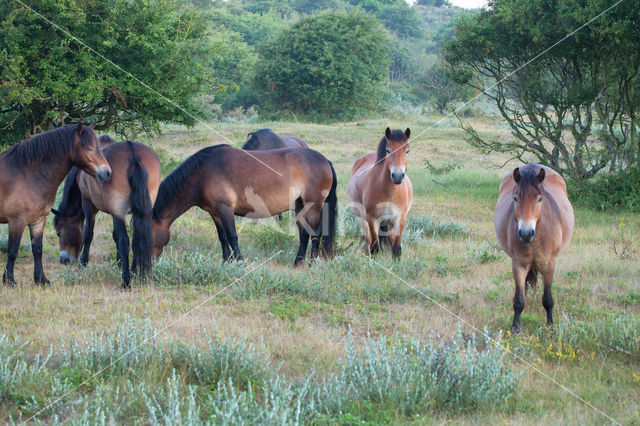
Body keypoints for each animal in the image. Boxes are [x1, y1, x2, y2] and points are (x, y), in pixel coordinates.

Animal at [0, 125, 111, 288]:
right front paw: (9, 280)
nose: (107, 172)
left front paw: (41, 279)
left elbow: (37, 250)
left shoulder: (38, 221)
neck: (27, 174)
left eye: (99, 147)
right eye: (89, 148)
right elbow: (13, 251)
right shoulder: (16, 221)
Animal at [53, 141, 161, 288]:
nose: (64, 260)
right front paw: (119, 262)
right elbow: (115, 235)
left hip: (118, 211)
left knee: (125, 241)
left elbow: (88, 234)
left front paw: (83, 263)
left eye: (59, 233)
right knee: (137, 239)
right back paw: (135, 272)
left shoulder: (88, 204)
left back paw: (126, 281)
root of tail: (132, 152)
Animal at [152, 145, 338, 264]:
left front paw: (240, 262)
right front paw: (226, 261)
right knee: (304, 234)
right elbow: (222, 237)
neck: (202, 174)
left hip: (313, 206)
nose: (151, 259)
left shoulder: (225, 209)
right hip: (300, 206)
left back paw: (311, 263)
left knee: (315, 234)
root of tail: (325, 160)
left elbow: (232, 236)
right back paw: (297, 263)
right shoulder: (215, 212)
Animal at [348, 127, 412, 256]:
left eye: (407, 151)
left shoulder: (400, 220)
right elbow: (374, 248)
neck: (390, 193)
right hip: (364, 220)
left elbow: (396, 249)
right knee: (368, 241)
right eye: (388, 150)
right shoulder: (373, 220)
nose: (397, 176)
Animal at [496, 164, 576, 332]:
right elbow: (518, 301)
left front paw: (551, 327)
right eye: (515, 198)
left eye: (539, 199)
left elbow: (548, 300)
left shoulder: (549, 265)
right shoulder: (518, 265)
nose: (526, 233)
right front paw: (515, 329)